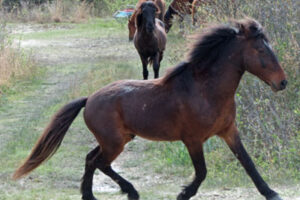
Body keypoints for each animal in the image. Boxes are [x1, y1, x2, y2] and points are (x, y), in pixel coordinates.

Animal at [13, 18, 286, 200]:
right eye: (260, 49)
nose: (282, 83)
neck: (206, 90)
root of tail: (89, 98)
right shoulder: (193, 139)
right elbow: (201, 173)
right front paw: (183, 194)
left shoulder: (229, 131)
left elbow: (248, 163)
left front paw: (271, 193)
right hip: (114, 142)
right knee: (99, 163)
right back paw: (128, 191)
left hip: (117, 139)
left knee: (91, 159)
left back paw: (96, 194)